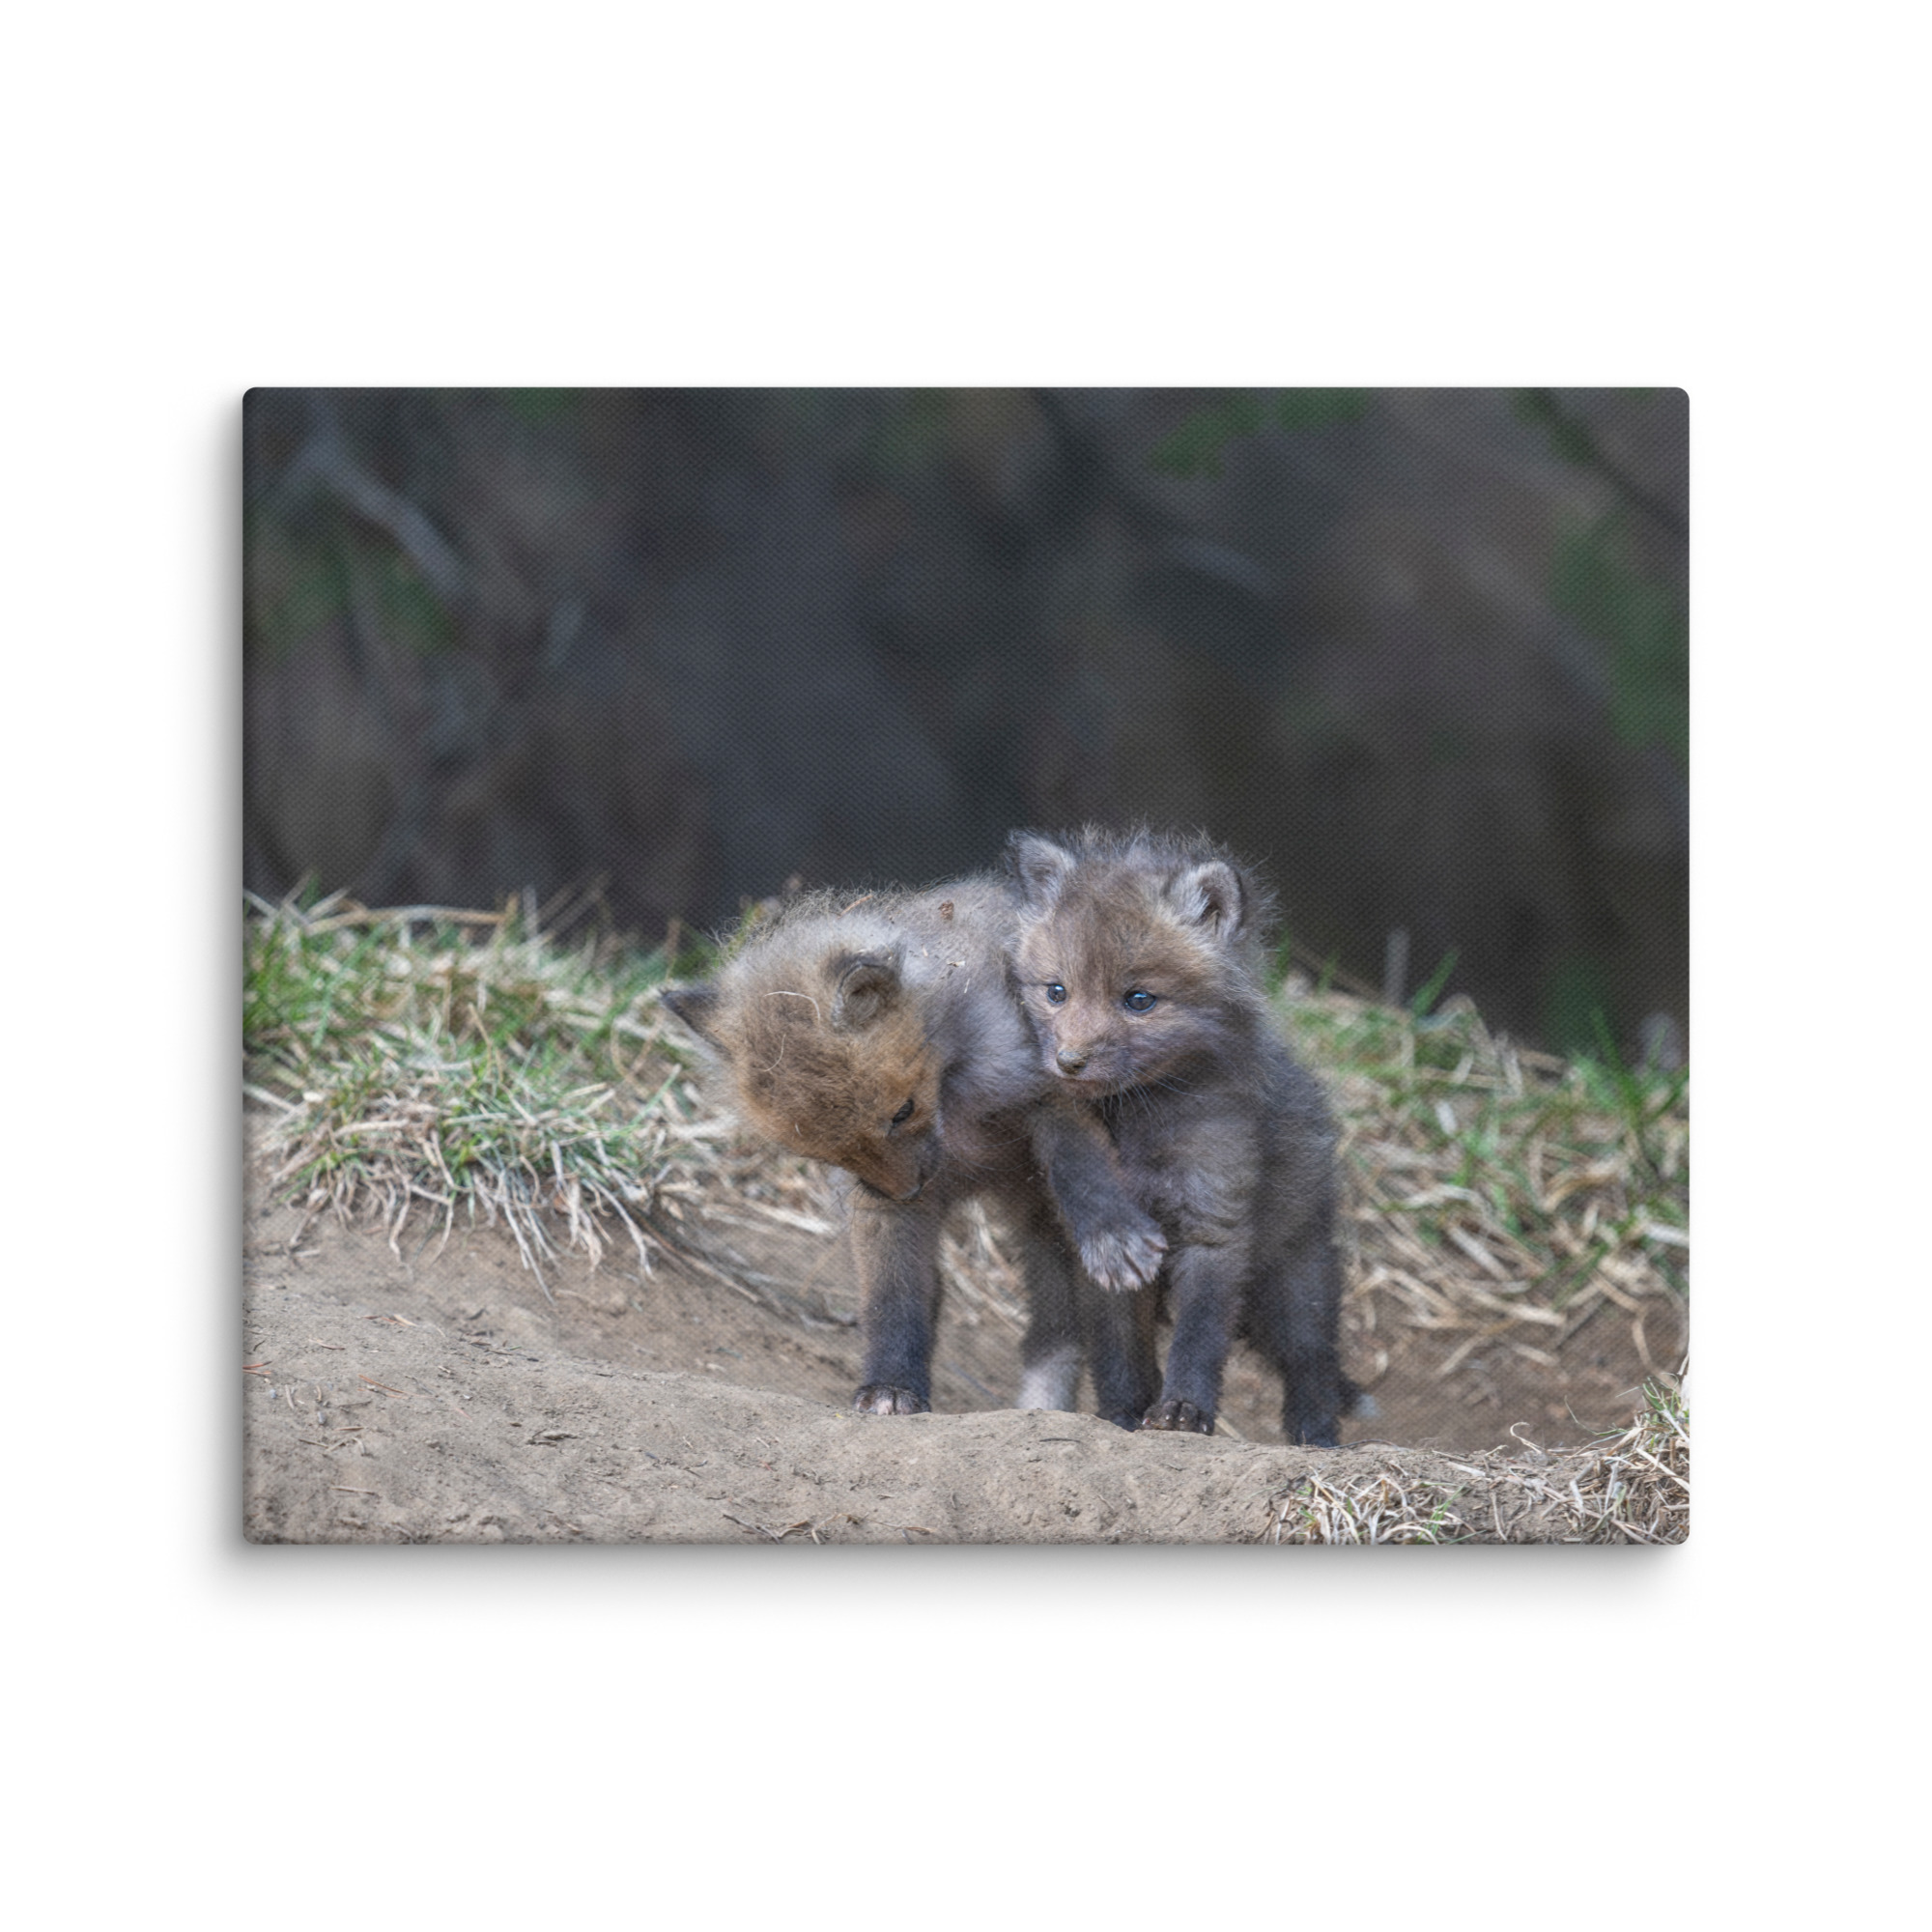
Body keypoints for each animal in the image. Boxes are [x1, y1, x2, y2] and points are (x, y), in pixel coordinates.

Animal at [659, 875, 1168, 1422]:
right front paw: (891, 1386)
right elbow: (893, 1299)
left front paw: (1112, 1234)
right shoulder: (876, 1204)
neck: (957, 1106)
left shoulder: (1051, 1090)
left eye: (902, 1112)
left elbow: (1082, 1169)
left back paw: (1128, 1412)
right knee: (1051, 1333)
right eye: (827, 1153)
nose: (908, 1190)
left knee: (1111, 1332)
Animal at [1006, 827, 1352, 1445]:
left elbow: (1200, 1336)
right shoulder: (1106, 1254)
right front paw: (1122, 1415)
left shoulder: (1214, 1222)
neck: (1139, 1124)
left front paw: (1183, 1412)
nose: (1068, 1062)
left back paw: (1317, 1439)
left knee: (1313, 1362)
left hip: (1295, 1282)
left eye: (1139, 1000)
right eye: (1056, 992)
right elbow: (1119, 1349)